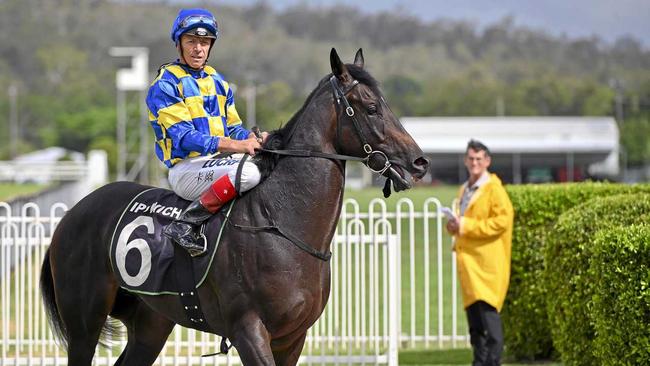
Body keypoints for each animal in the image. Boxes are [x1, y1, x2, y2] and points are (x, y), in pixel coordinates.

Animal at [39, 48, 426, 366]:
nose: (419, 163)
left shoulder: (293, 337)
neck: (282, 226)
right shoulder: (249, 331)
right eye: (372, 108)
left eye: (387, 104)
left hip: (151, 323)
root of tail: (71, 215)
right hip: (84, 324)